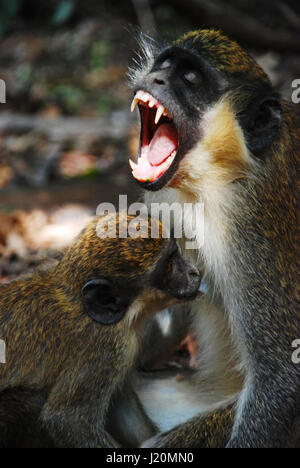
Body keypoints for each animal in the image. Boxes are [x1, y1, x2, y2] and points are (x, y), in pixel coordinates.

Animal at [0, 214, 202, 448]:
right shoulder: (106, 350)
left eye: (176, 253)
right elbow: (66, 420)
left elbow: (122, 408)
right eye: (168, 266)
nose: (194, 273)